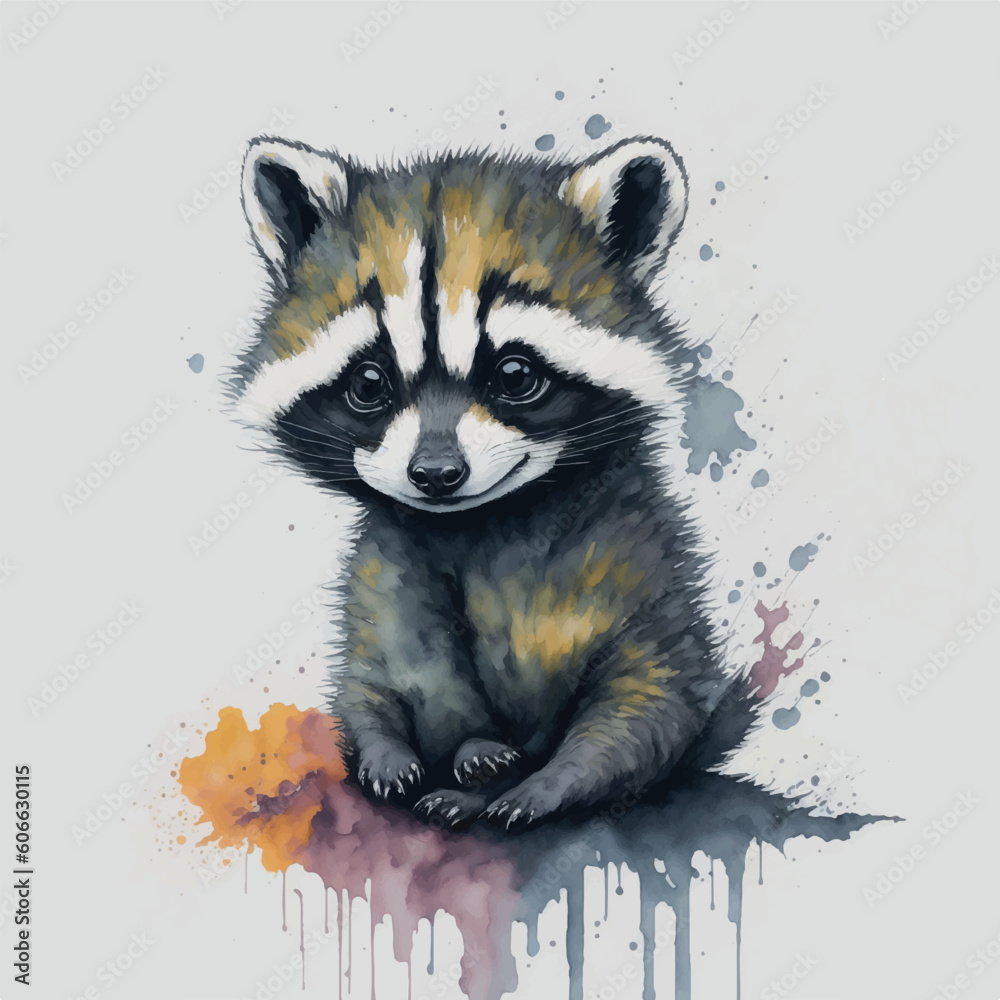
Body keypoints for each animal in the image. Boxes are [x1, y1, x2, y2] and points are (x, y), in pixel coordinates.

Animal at [229, 134, 755, 830]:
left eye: (514, 374)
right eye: (369, 383)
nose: (436, 473)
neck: (477, 523)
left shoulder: (642, 565)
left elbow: (646, 701)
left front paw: (555, 782)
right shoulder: (383, 569)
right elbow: (379, 677)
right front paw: (400, 748)